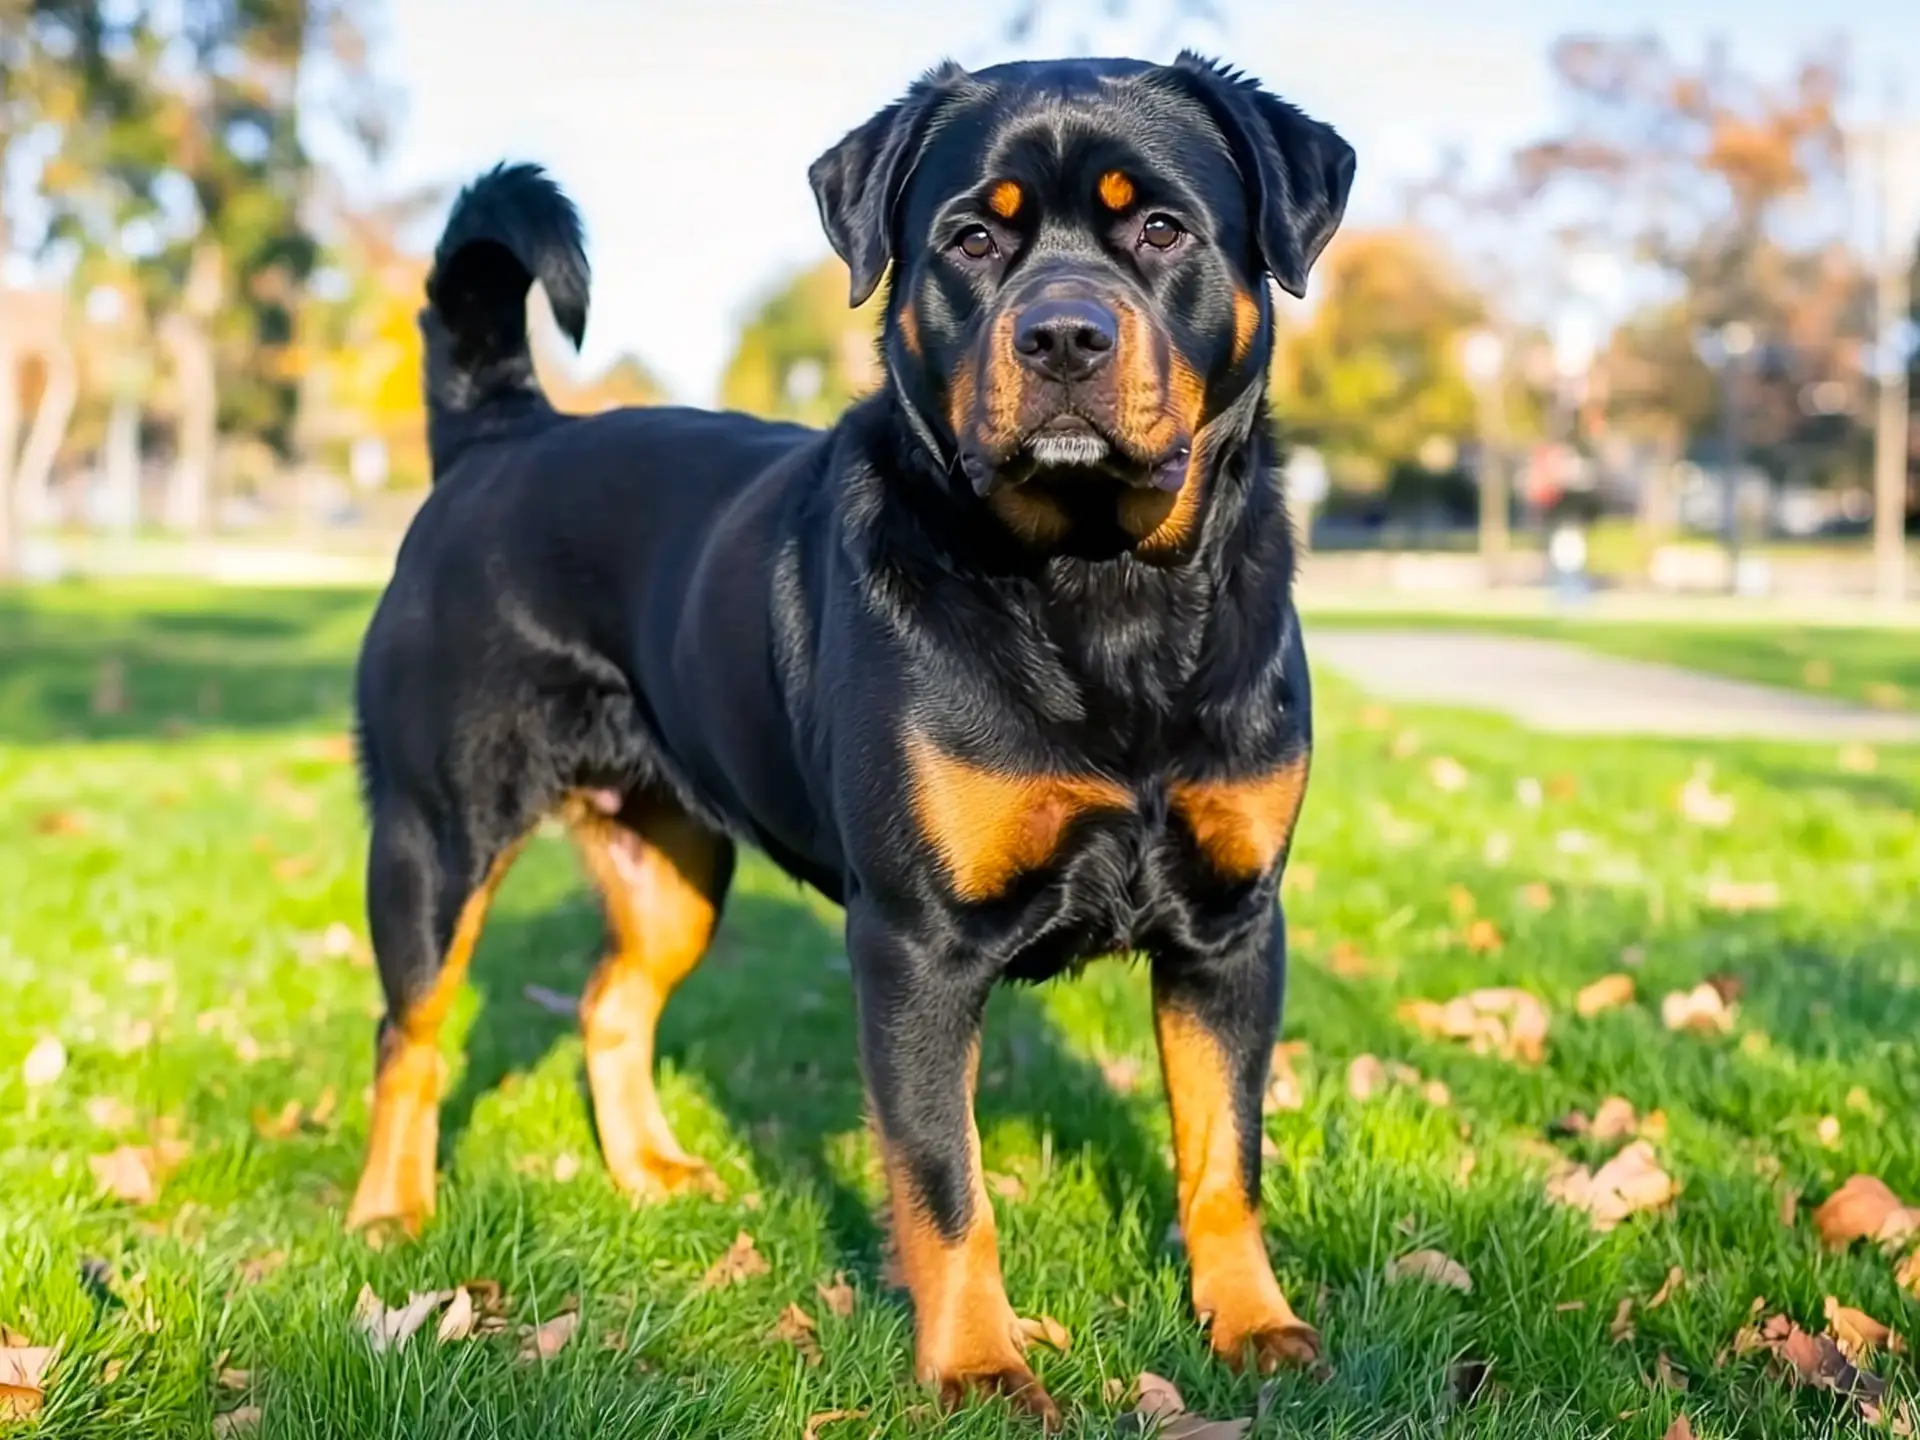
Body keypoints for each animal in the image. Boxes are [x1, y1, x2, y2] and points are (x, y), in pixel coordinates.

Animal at [345, 50, 1351, 1428]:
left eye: (1161, 228)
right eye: (972, 238)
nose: (1063, 335)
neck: (1101, 597)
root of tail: (501, 438)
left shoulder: (1232, 928)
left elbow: (1223, 1155)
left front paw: (1251, 1324)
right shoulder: (915, 945)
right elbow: (945, 1184)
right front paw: (978, 1366)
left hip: (674, 865)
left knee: (612, 1000)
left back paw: (651, 1171)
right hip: (435, 837)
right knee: (413, 1033)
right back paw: (390, 1212)